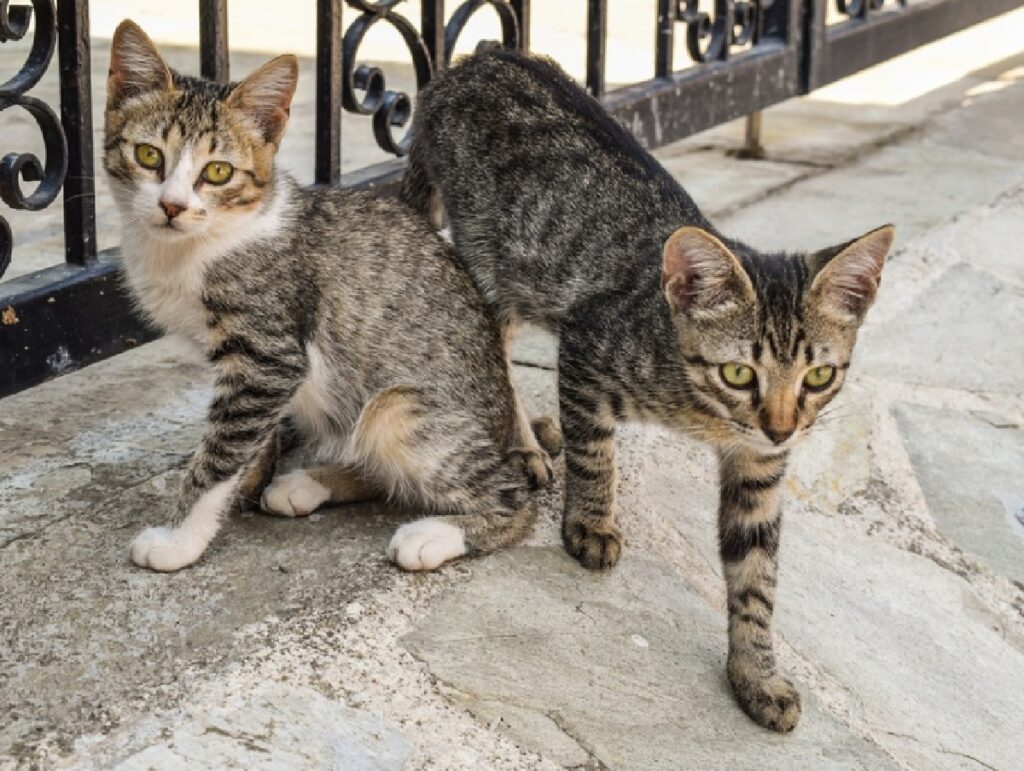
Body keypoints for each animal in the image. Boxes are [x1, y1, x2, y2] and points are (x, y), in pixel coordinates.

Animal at [101, 20, 561, 573]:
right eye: (148, 155)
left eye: (217, 172)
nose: (171, 206)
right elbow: (251, 440)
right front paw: (247, 482)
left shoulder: (268, 355)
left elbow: (222, 452)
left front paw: (179, 538)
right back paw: (308, 484)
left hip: (398, 408)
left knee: (510, 495)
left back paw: (436, 534)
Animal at [403, 49, 892, 733]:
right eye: (739, 373)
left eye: (818, 377)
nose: (781, 427)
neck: (705, 412)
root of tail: (474, 60)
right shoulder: (586, 349)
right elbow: (595, 454)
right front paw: (590, 523)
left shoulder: (759, 468)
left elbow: (757, 574)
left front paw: (756, 673)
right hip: (493, 265)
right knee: (490, 347)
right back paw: (523, 442)